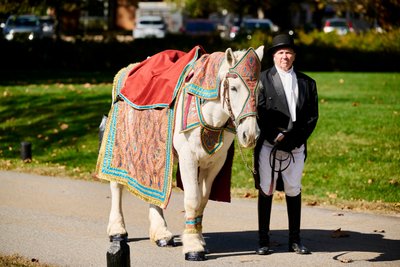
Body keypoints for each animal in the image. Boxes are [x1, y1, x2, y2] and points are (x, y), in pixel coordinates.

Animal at [104, 45, 264, 262]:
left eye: (260, 89)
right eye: (233, 88)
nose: (251, 134)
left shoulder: (214, 162)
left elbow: (203, 200)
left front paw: (197, 236)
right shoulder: (189, 157)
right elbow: (193, 198)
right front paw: (193, 246)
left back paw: (161, 233)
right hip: (122, 145)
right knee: (117, 185)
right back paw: (117, 230)